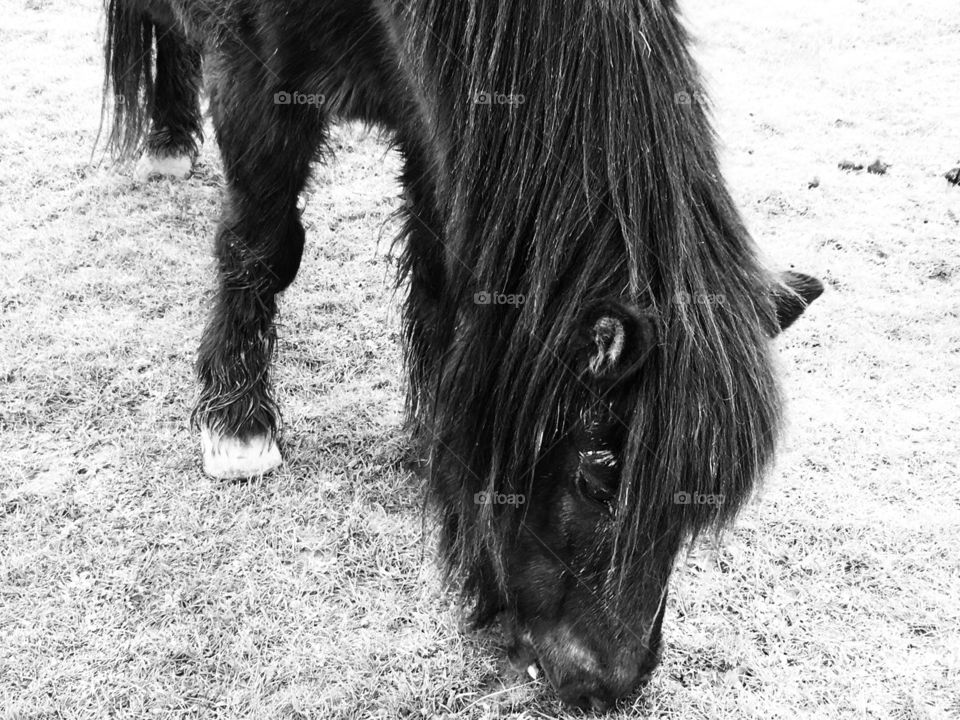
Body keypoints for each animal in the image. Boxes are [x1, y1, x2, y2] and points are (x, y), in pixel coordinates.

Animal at [102, 0, 823, 710]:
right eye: (598, 477)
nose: (614, 685)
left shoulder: (431, 123)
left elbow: (441, 284)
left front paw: (431, 432)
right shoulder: (254, 80)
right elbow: (263, 243)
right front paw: (237, 423)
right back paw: (166, 143)